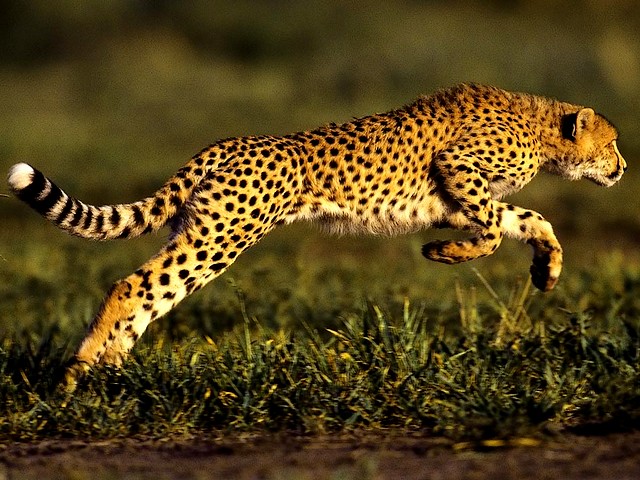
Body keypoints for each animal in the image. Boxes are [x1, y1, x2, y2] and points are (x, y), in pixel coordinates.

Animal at [7, 83, 626, 389]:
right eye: (613, 142)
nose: (622, 169)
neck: (540, 128)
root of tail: (227, 142)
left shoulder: (450, 200)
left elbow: (527, 220)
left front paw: (547, 269)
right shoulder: (457, 171)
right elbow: (495, 229)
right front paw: (443, 254)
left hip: (203, 230)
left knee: (148, 293)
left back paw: (108, 372)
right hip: (221, 236)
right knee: (133, 286)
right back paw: (76, 375)